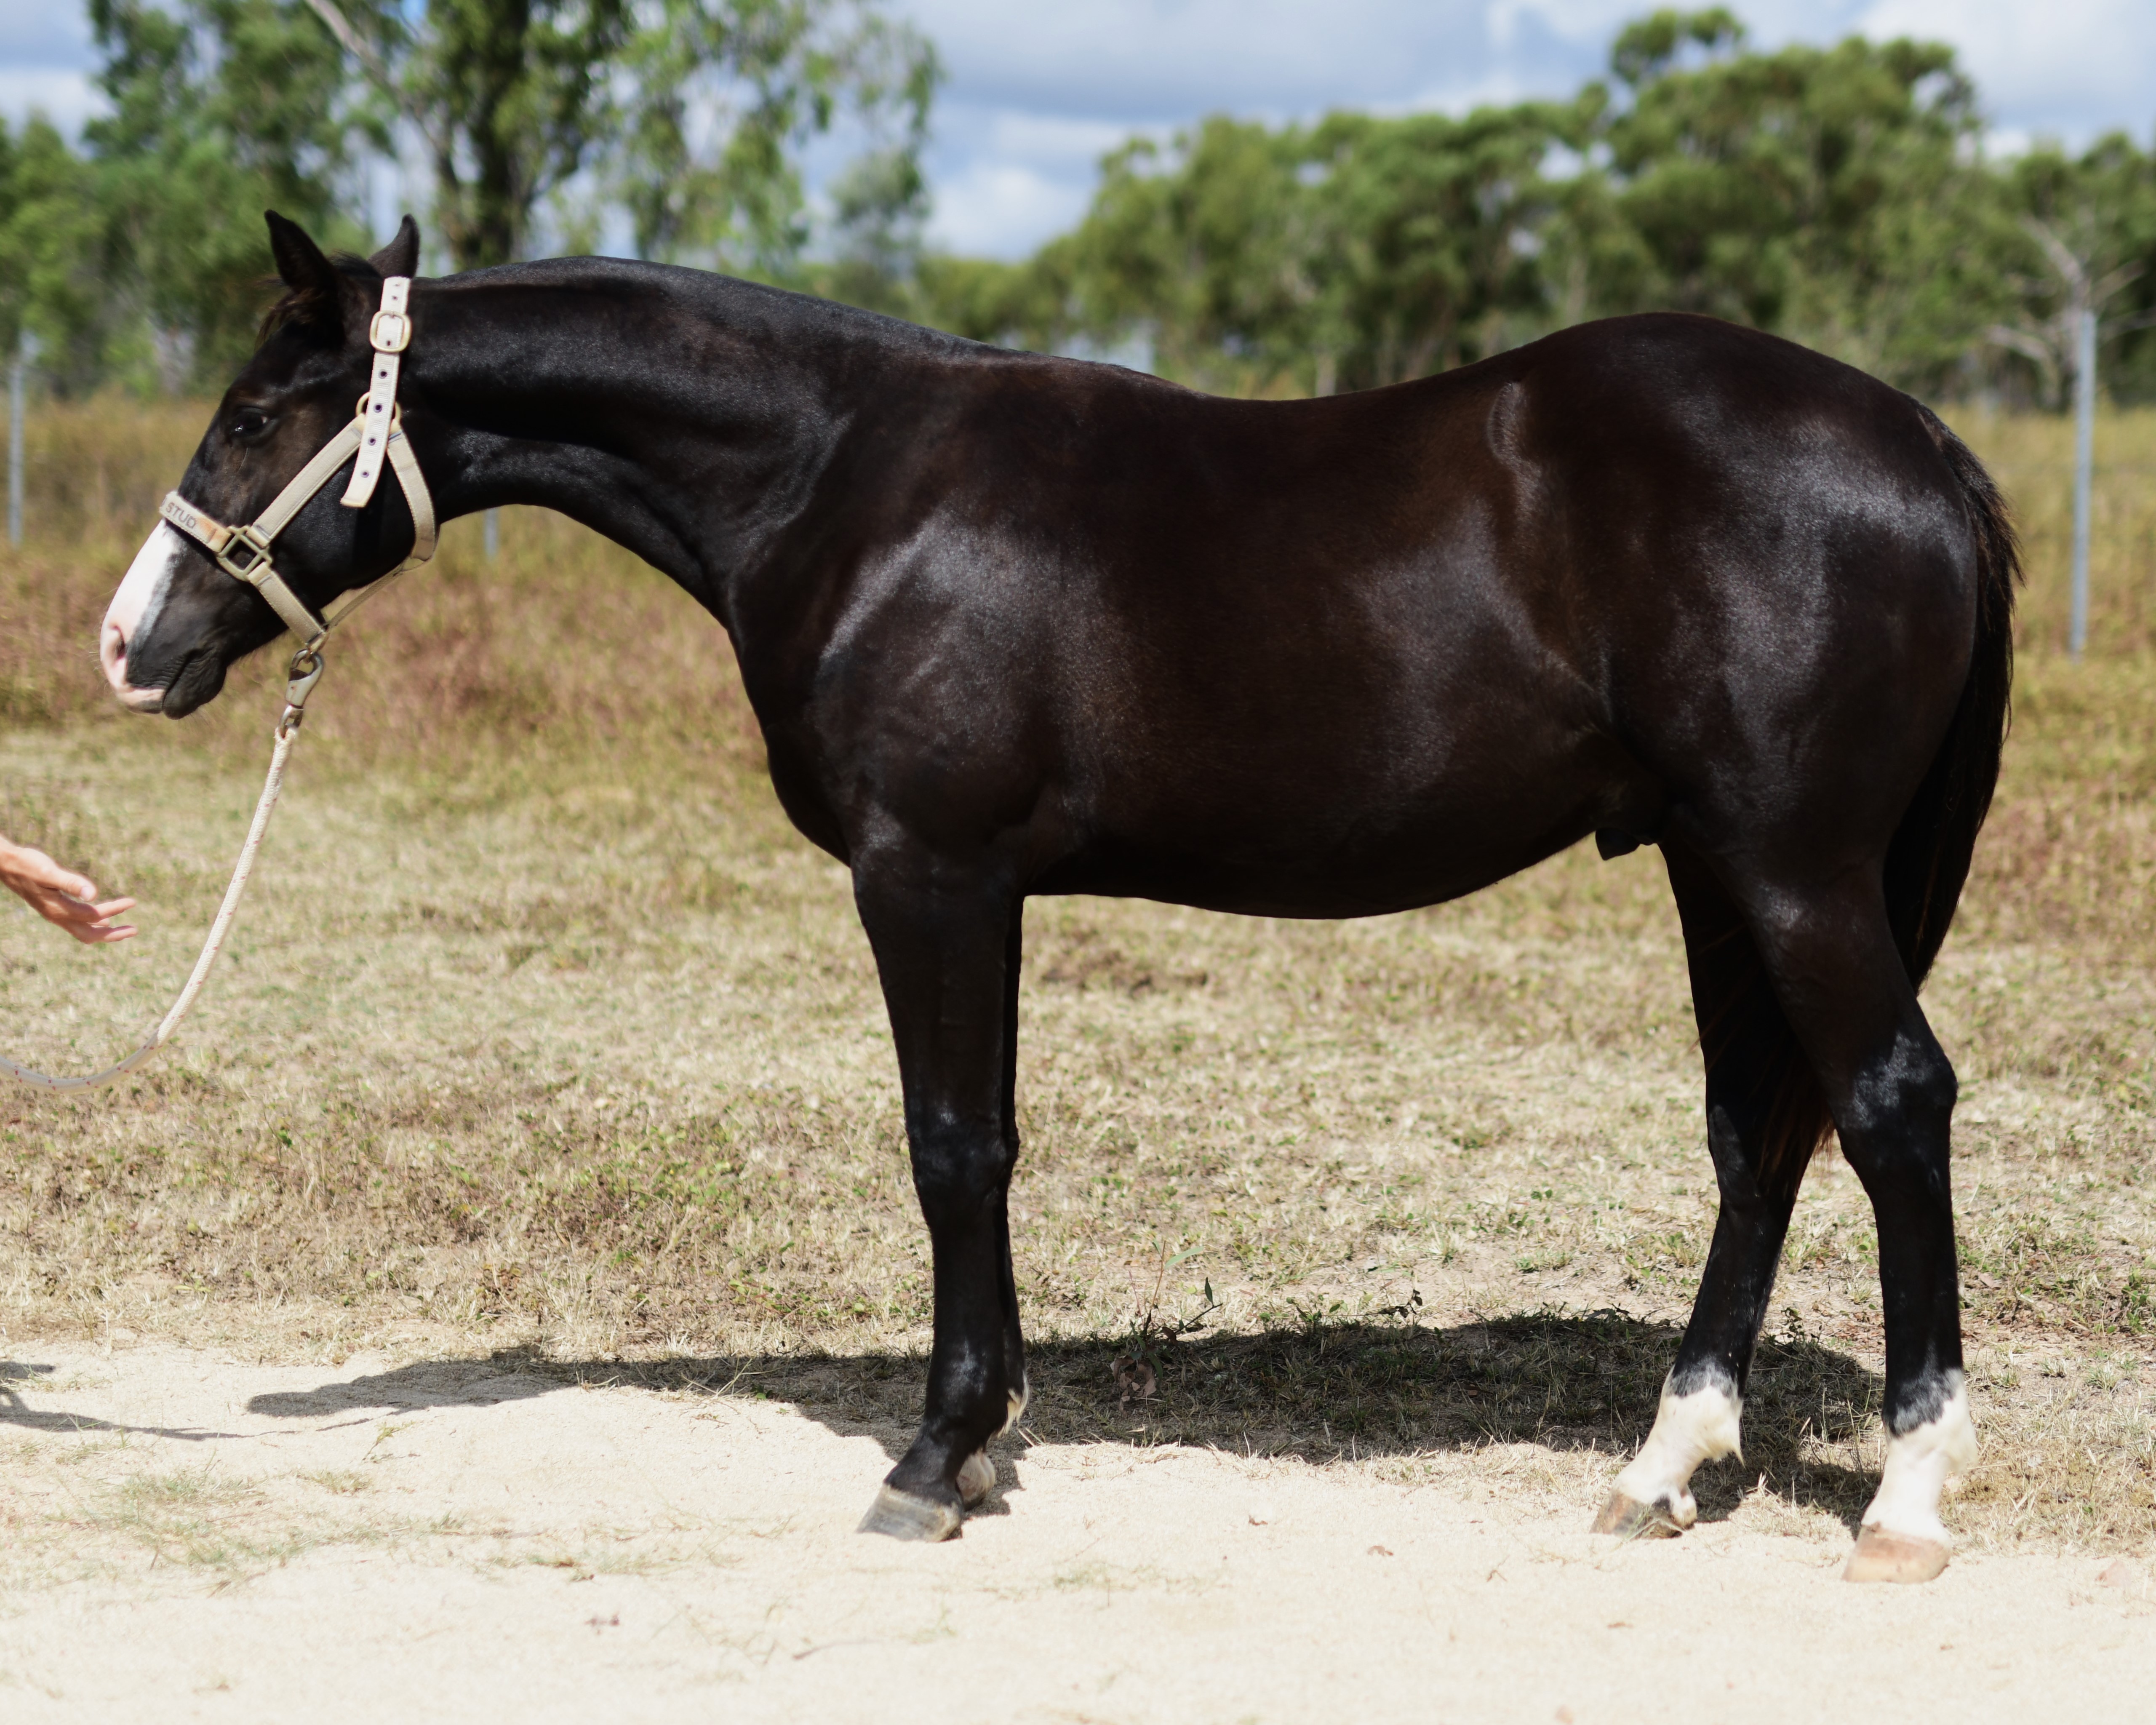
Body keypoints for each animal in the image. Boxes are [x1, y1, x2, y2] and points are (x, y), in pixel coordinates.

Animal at [100, 213, 2015, 1580]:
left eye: (260, 410)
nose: (133, 645)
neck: (844, 482)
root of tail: (1916, 437)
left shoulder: (927, 872)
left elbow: (948, 1143)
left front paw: (933, 1456)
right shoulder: (984, 885)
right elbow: (994, 1140)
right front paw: (991, 1432)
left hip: (1790, 862)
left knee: (1886, 1102)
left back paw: (1904, 1500)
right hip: (1713, 861)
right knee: (1758, 1128)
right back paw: (1660, 1469)